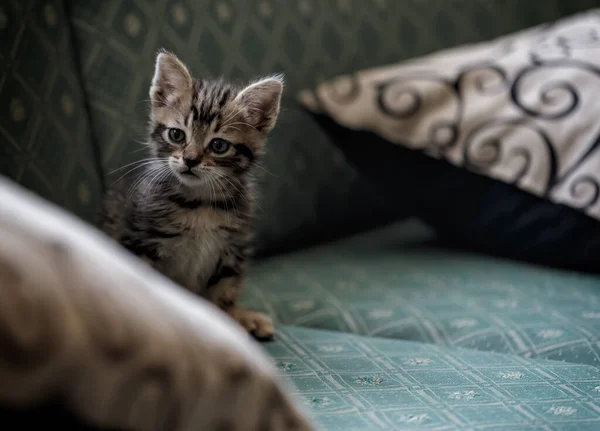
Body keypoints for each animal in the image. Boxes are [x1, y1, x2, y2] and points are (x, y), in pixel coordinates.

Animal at [99, 50, 284, 340]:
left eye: (218, 145)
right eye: (176, 135)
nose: (190, 160)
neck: (200, 203)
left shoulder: (233, 248)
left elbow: (225, 291)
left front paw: (231, 319)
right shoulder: (141, 242)